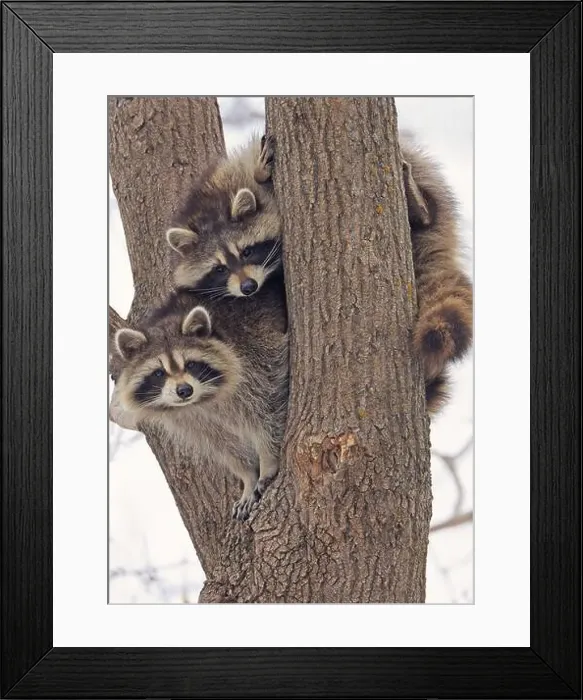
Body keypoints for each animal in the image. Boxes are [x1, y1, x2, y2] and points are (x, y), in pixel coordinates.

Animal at [112, 283, 288, 521]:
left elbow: (268, 411)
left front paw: (268, 461)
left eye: (191, 364)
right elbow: (225, 446)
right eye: (159, 373)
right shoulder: (191, 418)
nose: (184, 391)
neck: (203, 400)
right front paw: (248, 477)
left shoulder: (257, 357)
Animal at [165, 133, 472, 414]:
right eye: (219, 269)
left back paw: (419, 206)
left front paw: (261, 172)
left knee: (428, 207)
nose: (249, 287)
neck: (209, 208)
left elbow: (257, 176)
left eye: (247, 252)